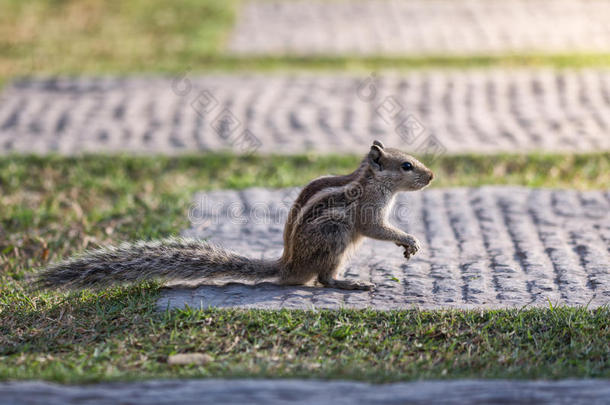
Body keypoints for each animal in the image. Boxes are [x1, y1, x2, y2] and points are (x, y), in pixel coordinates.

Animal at [35, 140, 432, 288]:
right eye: (407, 165)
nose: (431, 176)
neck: (372, 181)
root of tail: (287, 265)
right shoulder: (367, 211)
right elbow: (377, 228)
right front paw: (408, 239)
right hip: (334, 235)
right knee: (321, 279)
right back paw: (348, 283)